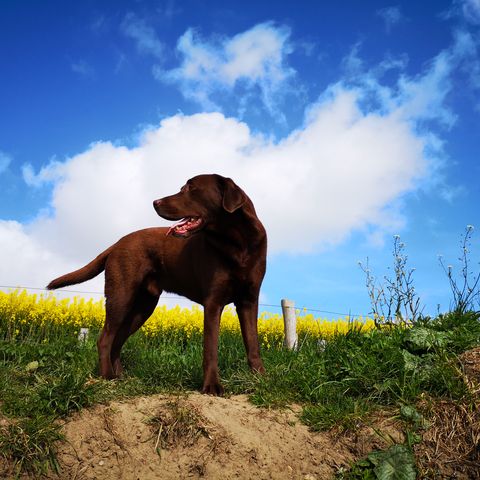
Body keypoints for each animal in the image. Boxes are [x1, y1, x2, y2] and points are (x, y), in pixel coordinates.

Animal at [46, 174, 266, 396]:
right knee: (105, 339)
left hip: (142, 308)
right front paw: (212, 386)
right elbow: (211, 348)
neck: (238, 243)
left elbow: (253, 343)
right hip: (121, 297)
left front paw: (260, 379)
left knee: (117, 341)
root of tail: (116, 243)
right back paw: (107, 376)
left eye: (191, 188)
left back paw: (120, 377)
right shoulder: (213, 301)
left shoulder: (249, 301)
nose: (155, 202)